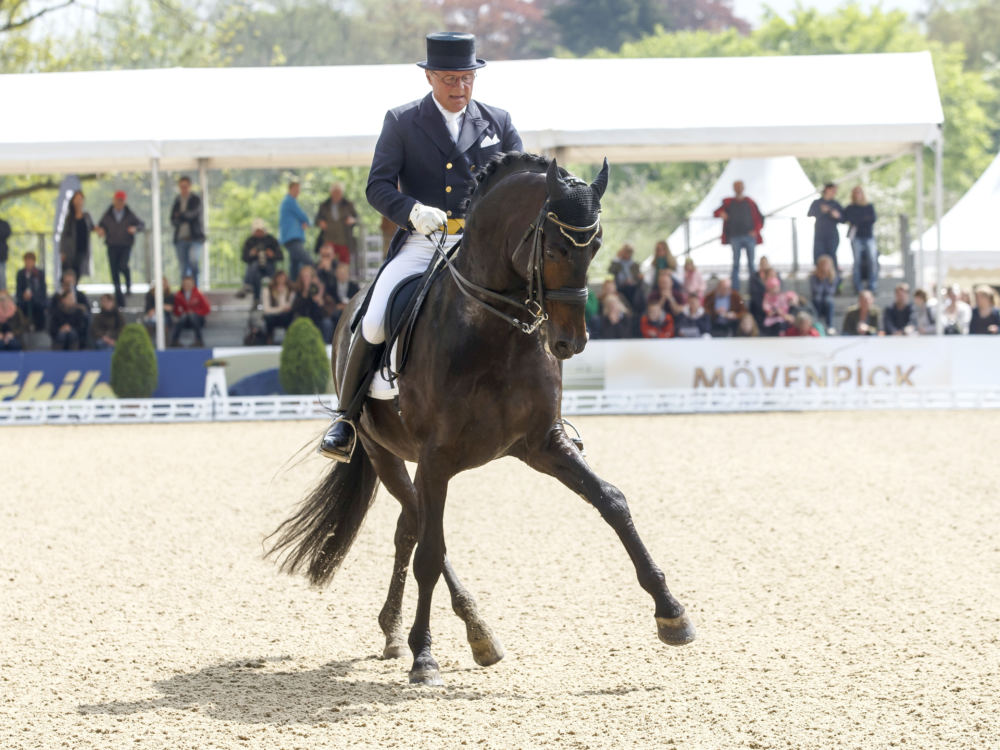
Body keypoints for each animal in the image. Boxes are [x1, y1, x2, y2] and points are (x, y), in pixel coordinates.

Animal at [266, 153, 696, 688]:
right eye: (553, 245)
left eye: (596, 245)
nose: (571, 342)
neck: (496, 330)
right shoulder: (436, 458)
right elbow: (432, 553)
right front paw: (425, 657)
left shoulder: (543, 444)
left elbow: (612, 502)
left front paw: (671, 613)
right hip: (383, 452)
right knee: (419, 529)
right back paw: (462, 632)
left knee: (408, 527)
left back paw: (412, 632)